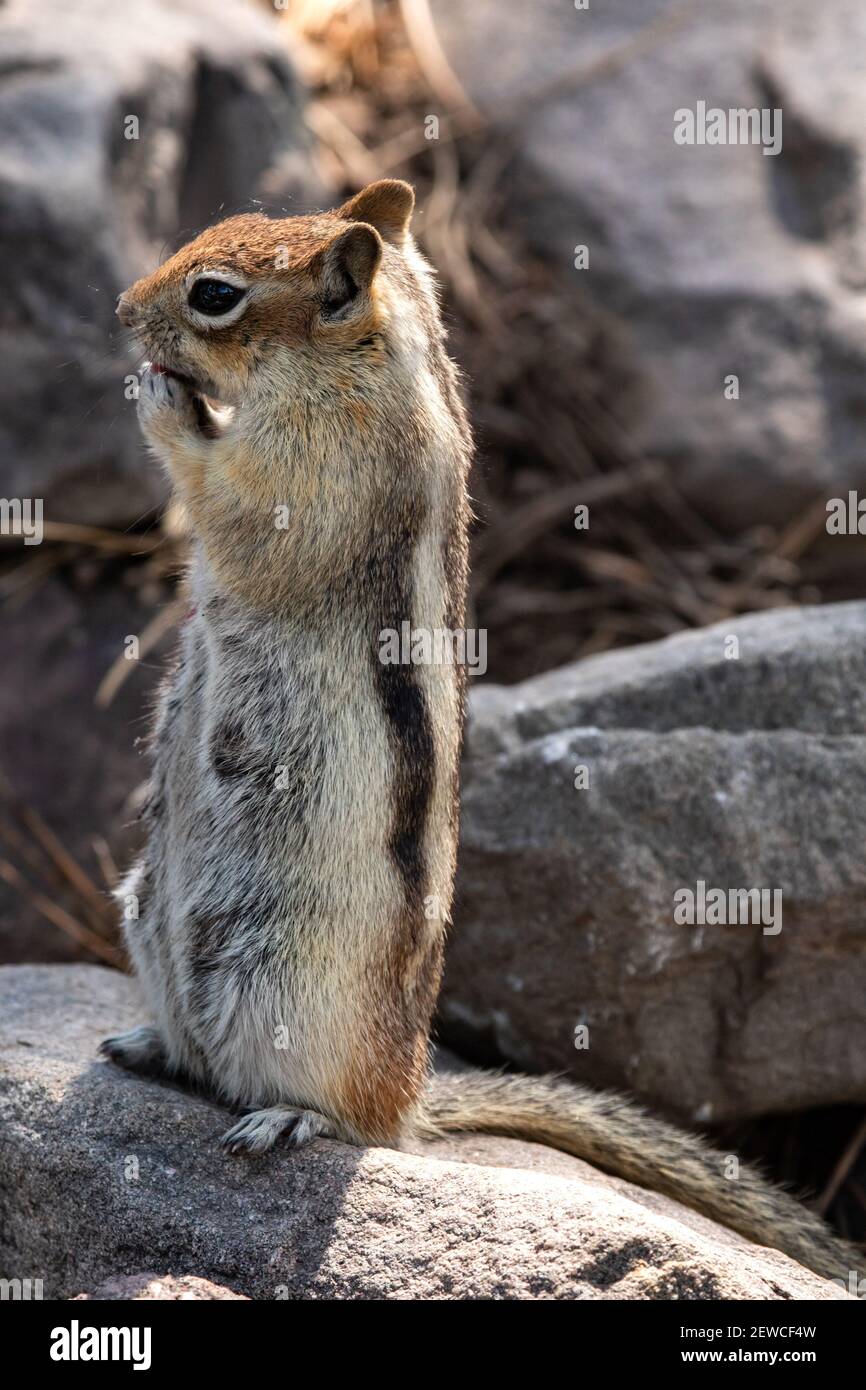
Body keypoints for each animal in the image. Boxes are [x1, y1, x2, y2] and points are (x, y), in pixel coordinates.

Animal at [104, 178, 854, 1284]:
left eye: (213, 294)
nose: (122, 312)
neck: (367, 362)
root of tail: (413, 1084)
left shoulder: (310, 481)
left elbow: (228, 505)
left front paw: (164, 399)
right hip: (145, 909)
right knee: (202, 1052)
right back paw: (152, 1046)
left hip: (294, 987)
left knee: (346, 1119)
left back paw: (290, 1117)